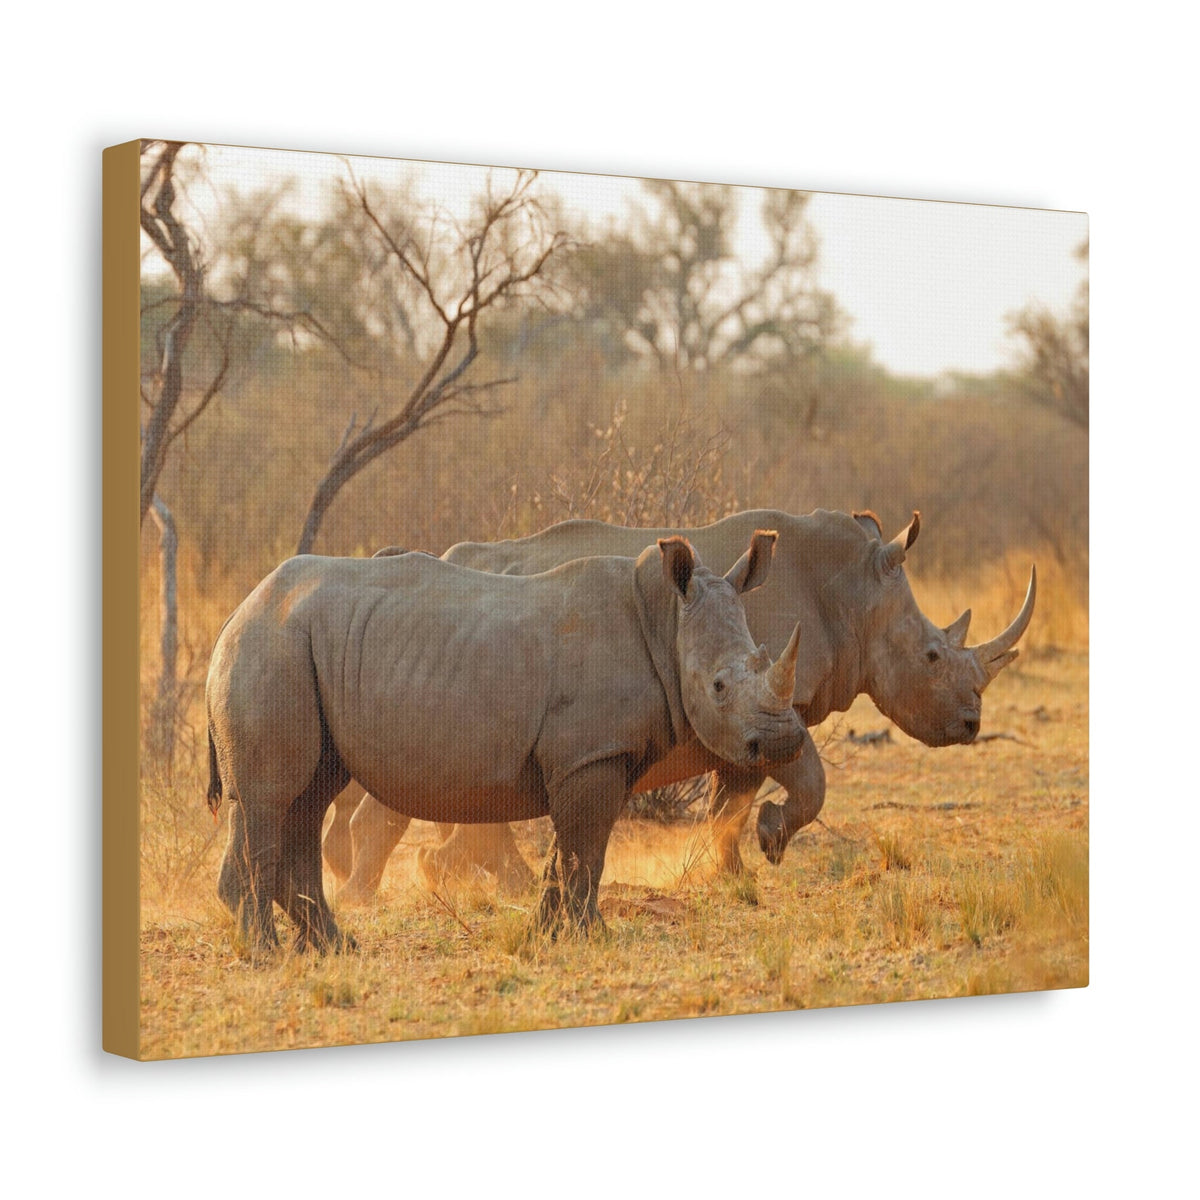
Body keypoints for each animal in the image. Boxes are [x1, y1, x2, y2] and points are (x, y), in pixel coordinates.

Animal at [206, 532, 805, 952]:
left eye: (763, 659)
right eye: (719, 687)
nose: (783, 742)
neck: (664, 621)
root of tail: (238, 610)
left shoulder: (594, 757)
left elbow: (572, 853)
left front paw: (548, 936)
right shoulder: (591, 755)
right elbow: (585, 851)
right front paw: (591, 939)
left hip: (296, 647)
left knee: (307, 798)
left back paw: (334, 950)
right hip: (271, 647)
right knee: (269, 799)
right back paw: (267, 955)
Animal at [324, 509, 1035, 901]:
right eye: (933, 657)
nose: (971, 724)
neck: (853, 592)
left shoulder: (752, 712)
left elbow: (731, 800)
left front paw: (729, 869)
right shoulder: (771, 705)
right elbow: (794, 785)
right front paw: (761, 850)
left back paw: (438, 877)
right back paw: (378, 891)